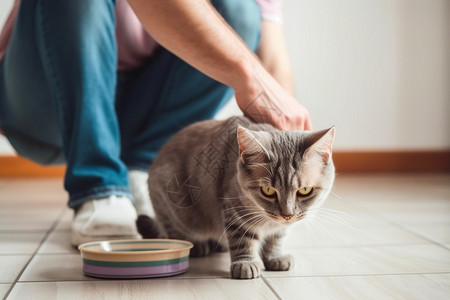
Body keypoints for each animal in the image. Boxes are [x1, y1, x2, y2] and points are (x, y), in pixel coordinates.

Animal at [139, 115, 336, 278]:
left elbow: (275, 239)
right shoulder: (236, 213)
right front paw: (246, 263)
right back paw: (197, 245)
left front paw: (274, 258)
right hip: (171, 205)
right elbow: (243, 240)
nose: (287, 215)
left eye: (304, 190)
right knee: (172, 230)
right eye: (268, 191)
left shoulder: (278, 228)